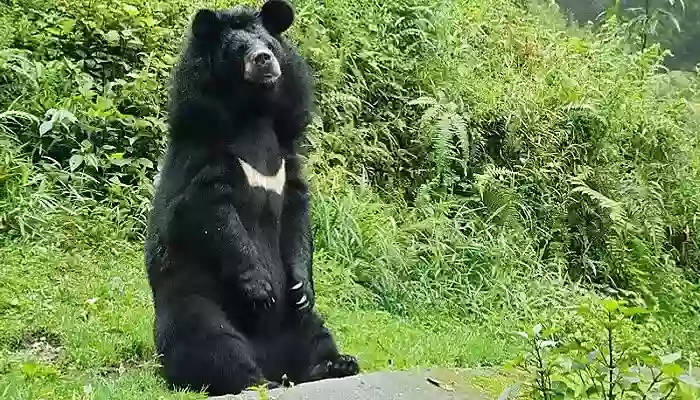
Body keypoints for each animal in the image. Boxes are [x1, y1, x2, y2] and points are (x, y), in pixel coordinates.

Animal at [142, 0, 359, 395]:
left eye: (269, 45)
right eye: (237, 49)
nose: (263, 59)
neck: (253, 114)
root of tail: (275, 363)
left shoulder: (287, 160)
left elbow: (296, 216)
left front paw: (301, 285)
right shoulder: (204, 160)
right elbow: (211, 214)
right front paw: (260, 287)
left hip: (298, 323)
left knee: (315, 331)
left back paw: (335, 364)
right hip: (196, 302)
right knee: (209, 341)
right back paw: (252, 380)